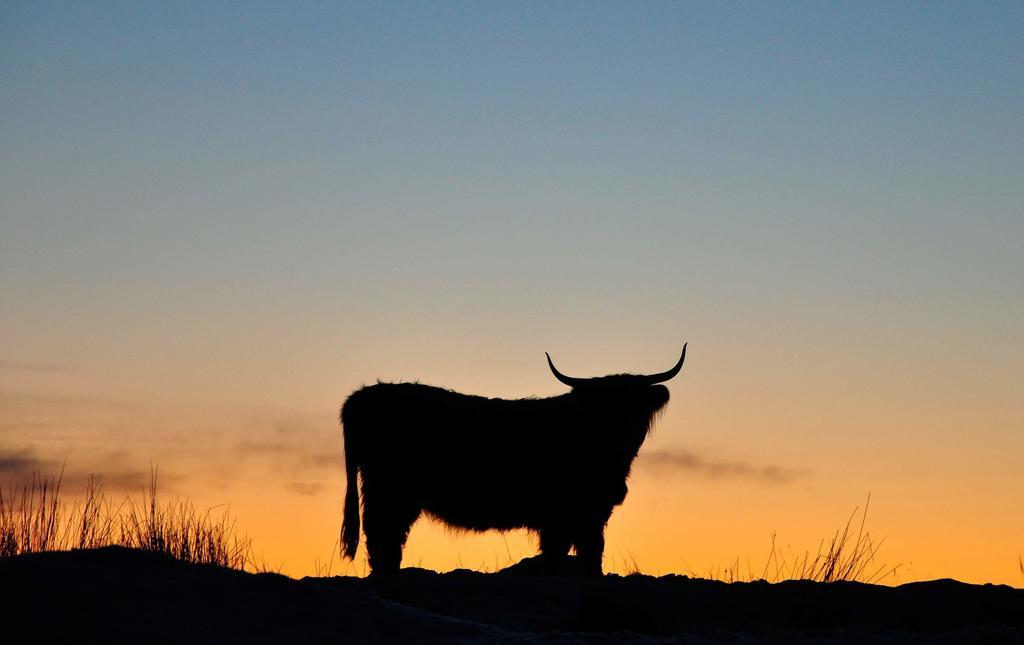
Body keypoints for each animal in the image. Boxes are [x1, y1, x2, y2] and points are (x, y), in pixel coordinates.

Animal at [337, 346, 688, 577]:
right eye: (602, 405)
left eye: (634, 403)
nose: (621, 431)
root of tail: (360, 398)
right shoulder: (568, 514)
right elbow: (574, 554)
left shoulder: (585, 515)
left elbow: (584, 552)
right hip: (390, 491)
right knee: (382, 537)